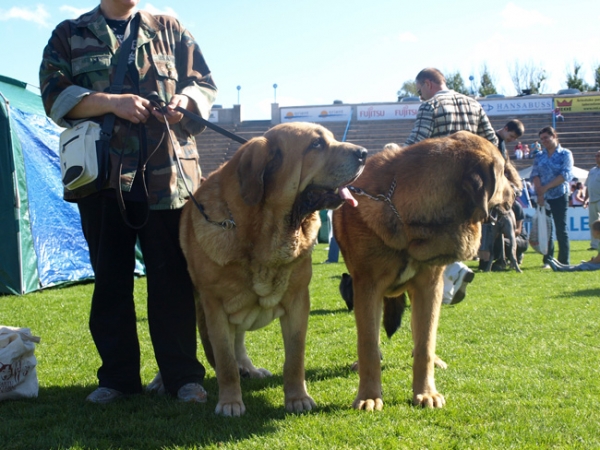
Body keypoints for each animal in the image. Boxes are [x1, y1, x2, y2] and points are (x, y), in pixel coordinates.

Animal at [179, 121, 366, 416]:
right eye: (316, 144)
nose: (364, 153)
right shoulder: (214, 307)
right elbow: (224, 360)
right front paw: (230, 402)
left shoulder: (298, 302)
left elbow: (295, 358)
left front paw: (297, 398)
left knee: (239, 340)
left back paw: (249, 369)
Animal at [332, 131, 520, 412]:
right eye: (503, 173)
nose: (517, 191)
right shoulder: (367, 288)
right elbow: (367, 345)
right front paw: (368, 396)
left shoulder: (428, 288)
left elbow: (425, 345)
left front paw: (426, 393)